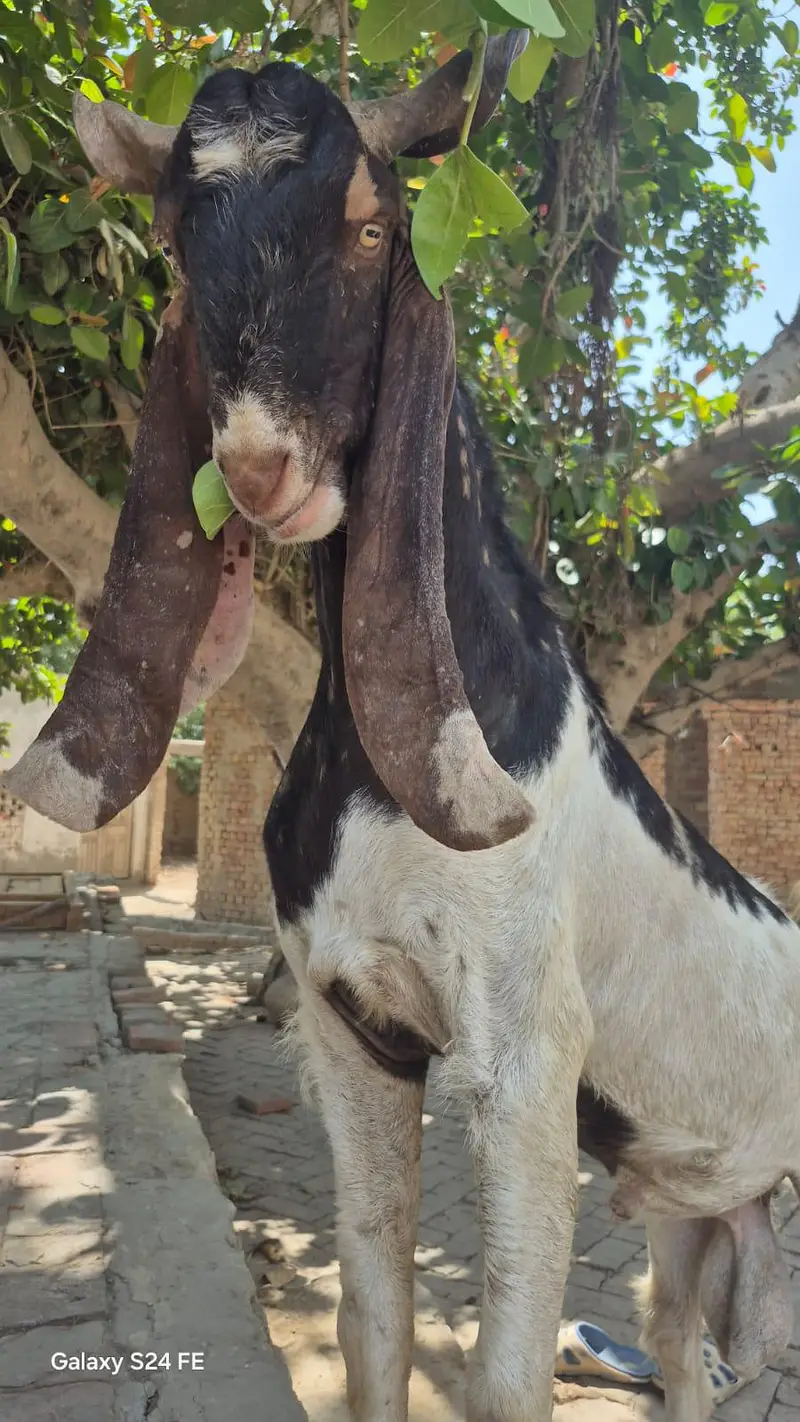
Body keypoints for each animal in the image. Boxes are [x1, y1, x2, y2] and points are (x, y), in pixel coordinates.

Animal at [7, 41, 800, 1422]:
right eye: (176, 240)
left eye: (370, 227)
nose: (258, 471)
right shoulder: (349, 1029)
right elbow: (372, 1319)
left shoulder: (522, 1059)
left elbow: (501, 1378)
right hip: (691, 1209)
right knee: (678, 1344)